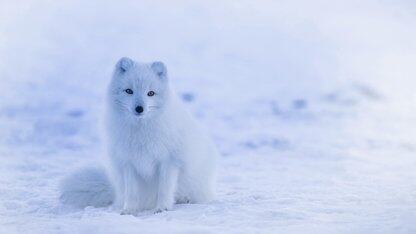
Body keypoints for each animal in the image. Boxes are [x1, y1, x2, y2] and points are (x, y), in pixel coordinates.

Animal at [61, 57, 221, 214]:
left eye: (150, 93)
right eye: (129, 91)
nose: (139, 108)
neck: (140, 131)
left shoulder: (169, 161)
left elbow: (164, 188)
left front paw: (162, 208)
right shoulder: (128, 162)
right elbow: (132, 192)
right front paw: (129, 210)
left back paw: (185, 199)